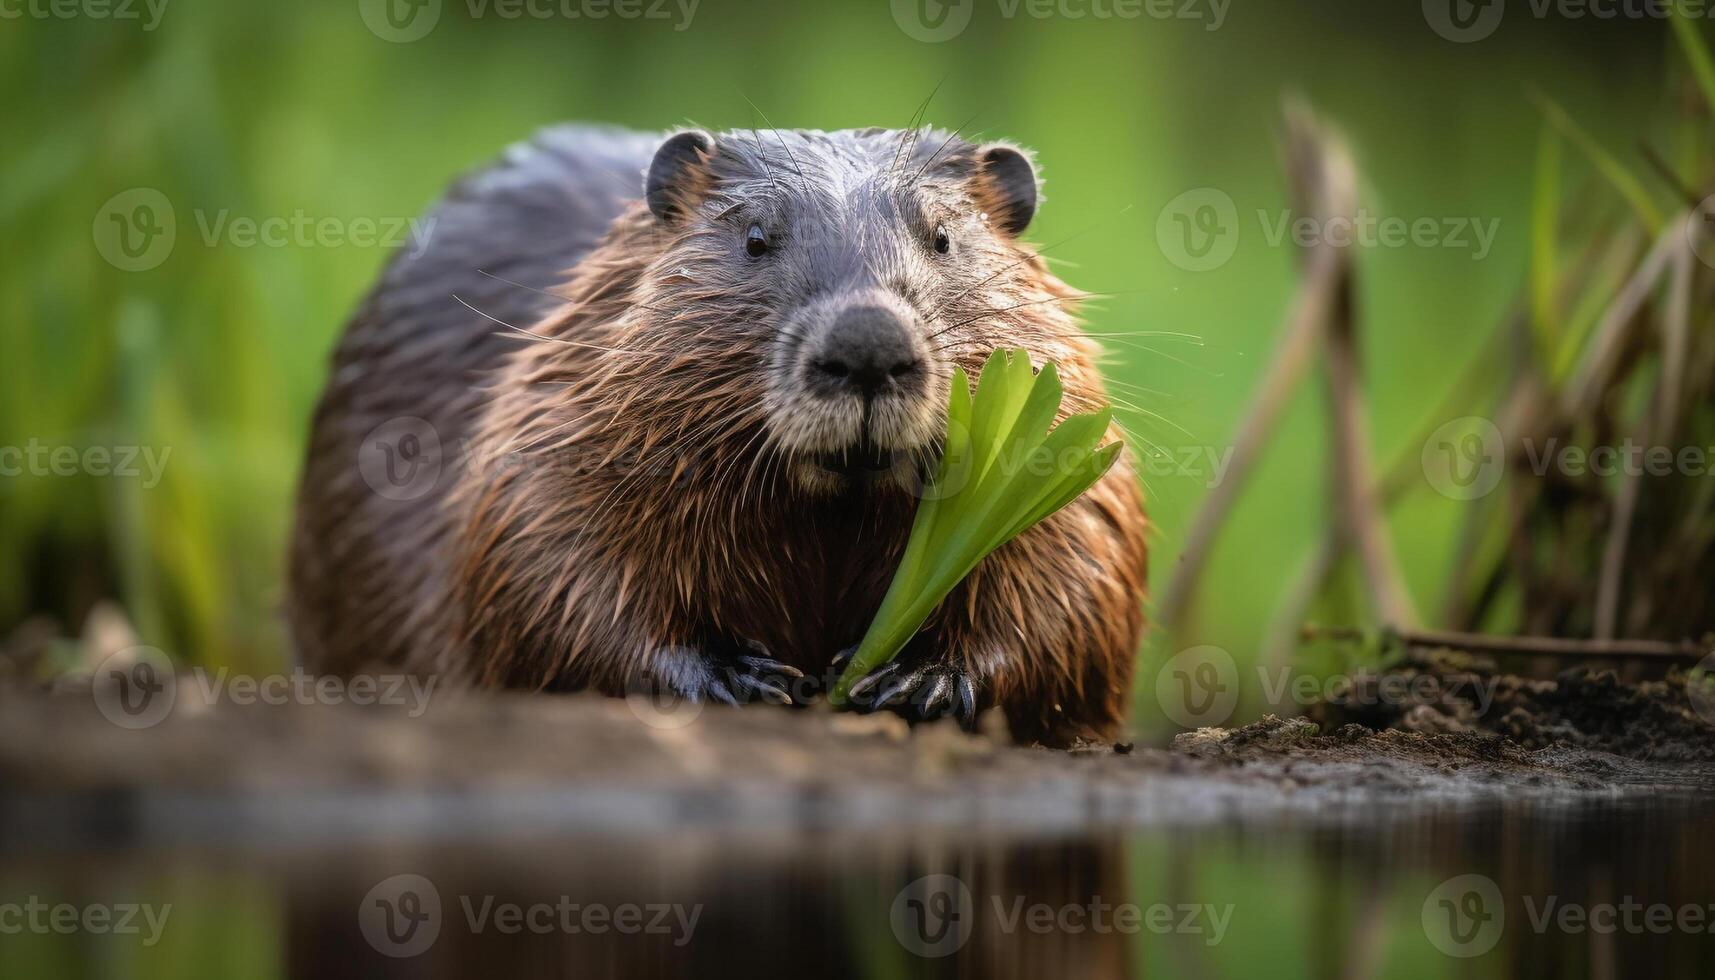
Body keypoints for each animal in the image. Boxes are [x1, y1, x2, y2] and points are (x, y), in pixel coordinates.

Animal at [291, 126, 1152, 748]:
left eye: (942, 237)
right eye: (756, 237)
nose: (867, 344)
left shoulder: (1073, 458)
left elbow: (1078, 578)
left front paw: (913, 681)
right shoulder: (551, 410)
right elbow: (545, 566)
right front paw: (746, 677)